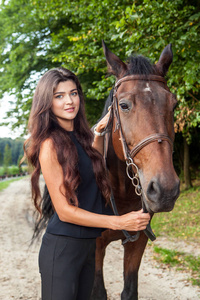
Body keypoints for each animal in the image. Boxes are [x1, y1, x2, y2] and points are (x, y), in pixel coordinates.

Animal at [90, 41, 180, 300]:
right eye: (124, 105)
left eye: (174, 105)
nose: (165, 189)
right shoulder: (94, 247)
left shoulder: (137, 242)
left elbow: (130, 291)